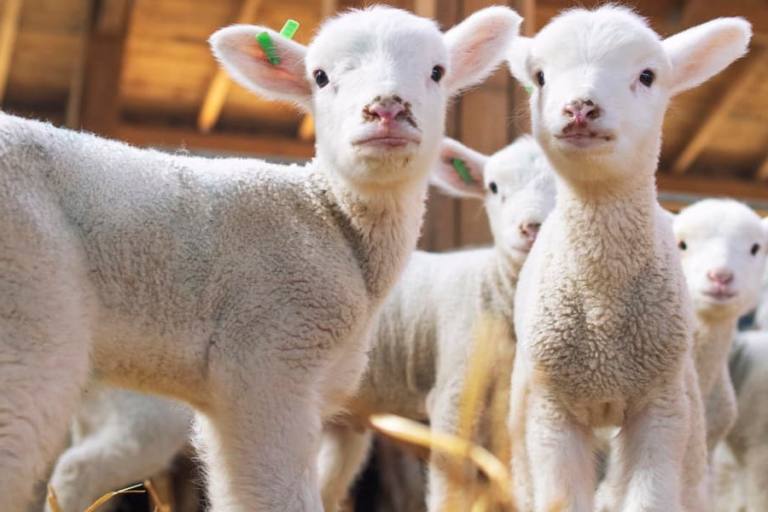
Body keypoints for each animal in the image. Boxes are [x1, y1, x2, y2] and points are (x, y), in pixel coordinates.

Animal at [0, 6, 522, 511]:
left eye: (437, 71)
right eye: (320, 77)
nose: (387, 109)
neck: (330, 217)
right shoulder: (268, 355)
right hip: (33, 319)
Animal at [505, 6, 751, 511]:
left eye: (647, 75)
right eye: (540, 77)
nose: (580, 108)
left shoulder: (659, 407)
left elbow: (649, 498)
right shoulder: (552, 410)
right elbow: (560, 498)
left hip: (685, 401)